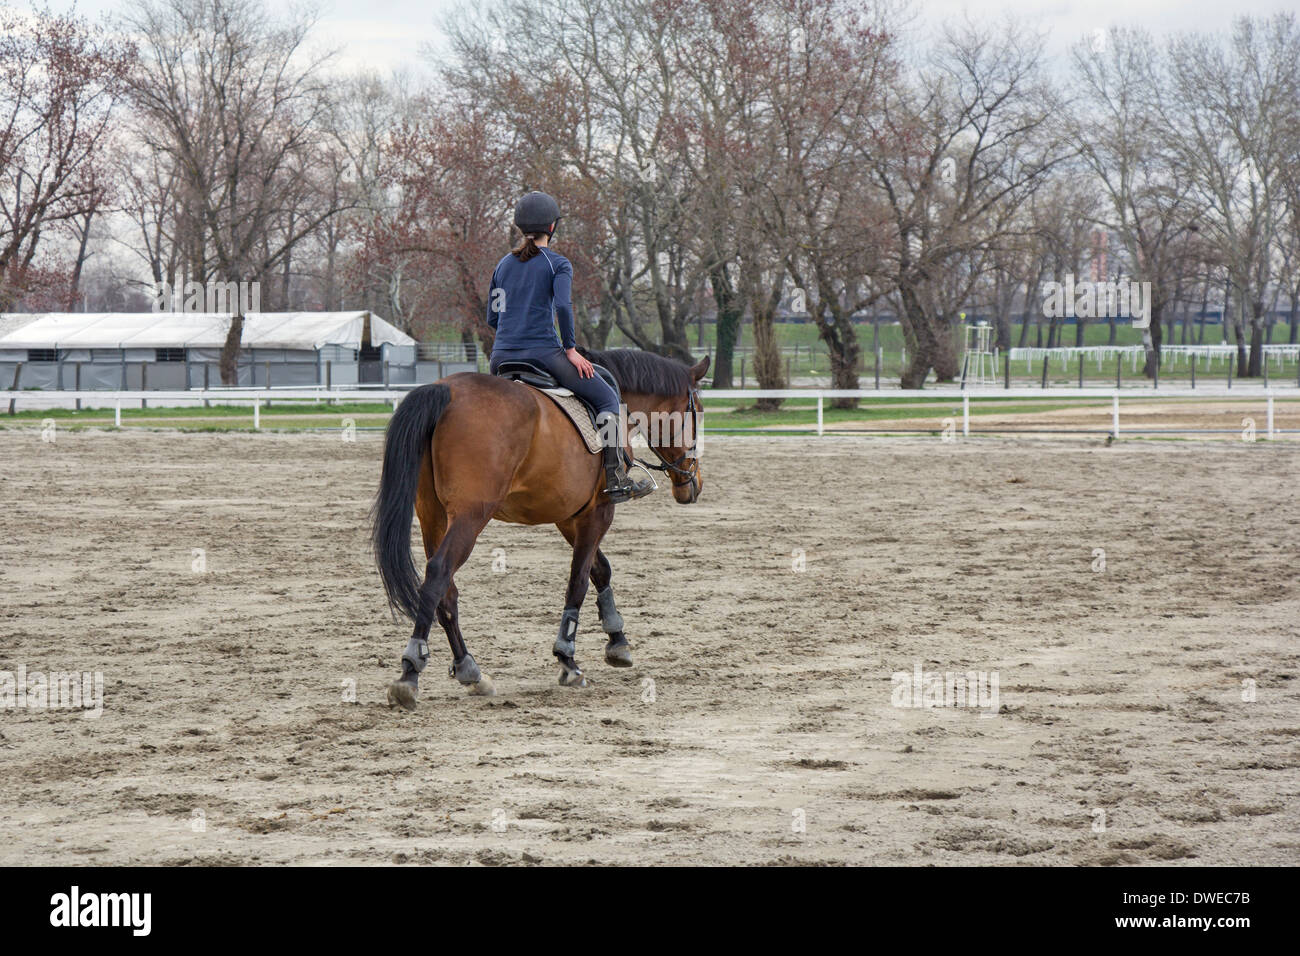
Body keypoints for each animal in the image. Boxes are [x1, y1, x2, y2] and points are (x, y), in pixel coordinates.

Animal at [371, 347, 709, 709]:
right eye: (698, 414)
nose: (694, 485)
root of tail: (445, 390)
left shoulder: (570, 516)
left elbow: (600, 570)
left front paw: (617, 640)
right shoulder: (598, 512)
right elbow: (579, 581)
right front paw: (568, 658)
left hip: (432, 515)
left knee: (446, 589)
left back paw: (469, 669)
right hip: (470, 516)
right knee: (438, 574)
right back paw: (410, 672)